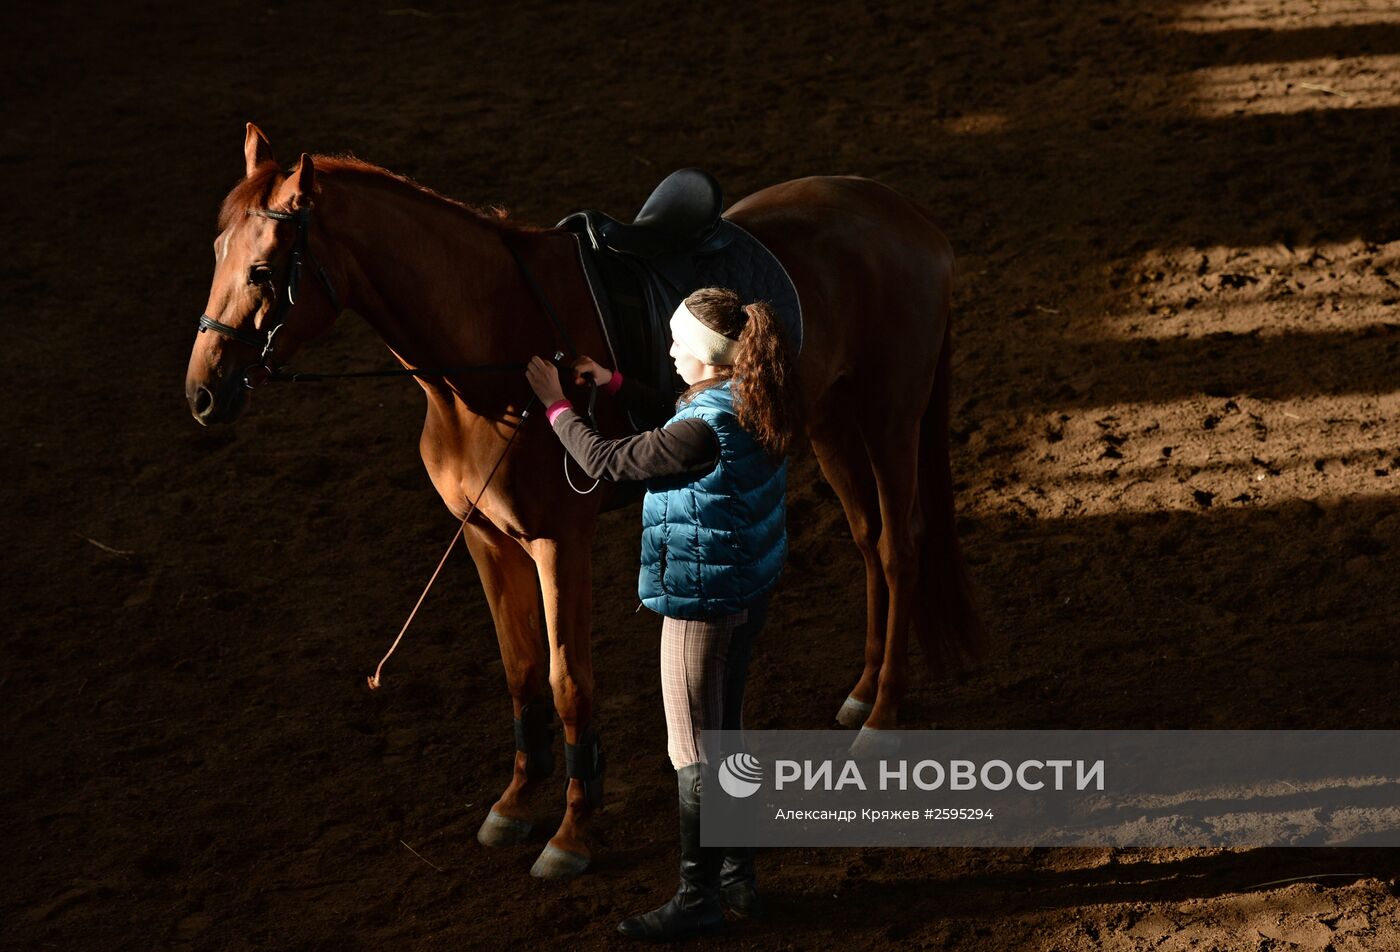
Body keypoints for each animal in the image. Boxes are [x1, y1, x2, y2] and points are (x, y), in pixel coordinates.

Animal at [183, 122, 974, 879]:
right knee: (869, 540)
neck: (488, 353)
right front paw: (514, 805)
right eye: (216, 253)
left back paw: (884, 713)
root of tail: (906, 216)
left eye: (262, 271)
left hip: (889, 416)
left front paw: (572, 832)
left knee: (899, 548)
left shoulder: (559, 541)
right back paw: (861, 691)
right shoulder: (486, 537)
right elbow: (521, 672)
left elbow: (568, 682)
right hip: (830, 422)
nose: (202, 394)